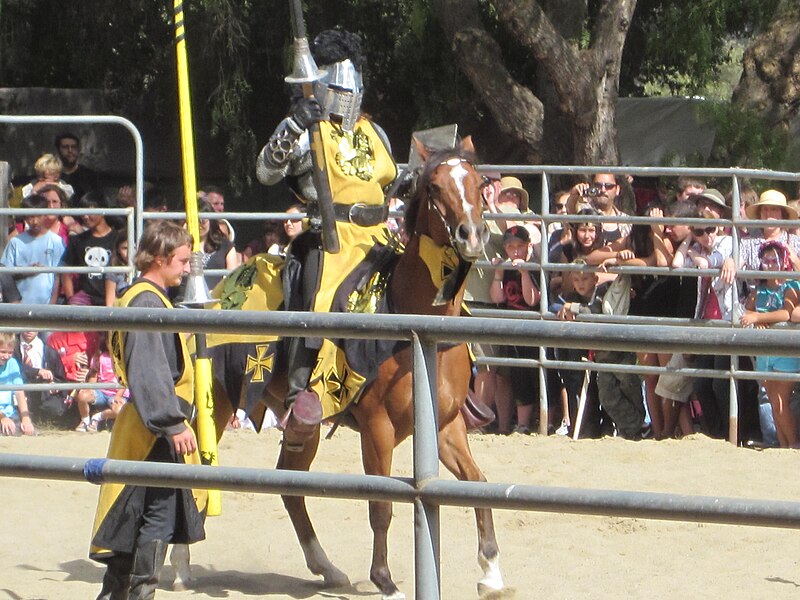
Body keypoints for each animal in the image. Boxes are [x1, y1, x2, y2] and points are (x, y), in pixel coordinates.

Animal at [186, 136, 500, 600]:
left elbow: (479, 483)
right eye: (435, 187)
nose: (472, 234)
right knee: (191, 467)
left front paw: (492, 571)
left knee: (290, 482)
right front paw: (385, 581)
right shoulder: (377, 428)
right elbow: (381, 505)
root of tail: (225, 285)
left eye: (479, 185)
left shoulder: (446, 427)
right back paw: (179, 565)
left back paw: (326, 567)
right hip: (220, 401)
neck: (414, 324)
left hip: (302, 425)